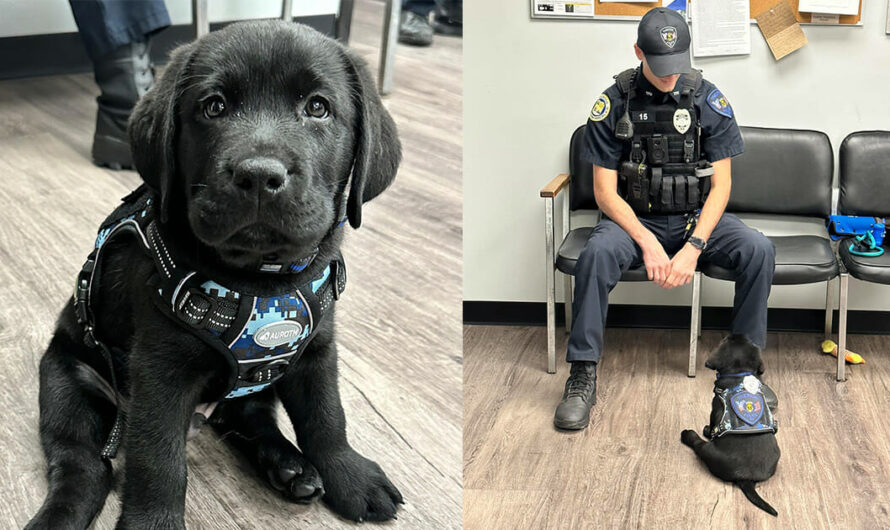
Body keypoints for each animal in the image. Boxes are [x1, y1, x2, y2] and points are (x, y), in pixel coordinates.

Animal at [27, 20, 402, 528]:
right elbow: (157, 460)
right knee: (81, 464)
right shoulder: (160, 373)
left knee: (251, 416)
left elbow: (327, 416)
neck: (261, 279)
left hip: (256, 384)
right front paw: (153, 523)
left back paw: (290, 467)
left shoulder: (316, 351)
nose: (260, 176)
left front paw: (351, 476)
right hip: (68, 381)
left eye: (318, 107)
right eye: (214, 106)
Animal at [680, 334, 776, 516]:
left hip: (708, 450)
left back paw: (688, 434)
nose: (738, 333)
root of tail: (746, 478)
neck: (739, 372)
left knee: (698, 444)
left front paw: (707, 430)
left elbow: (712, 423)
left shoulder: (714, 407)